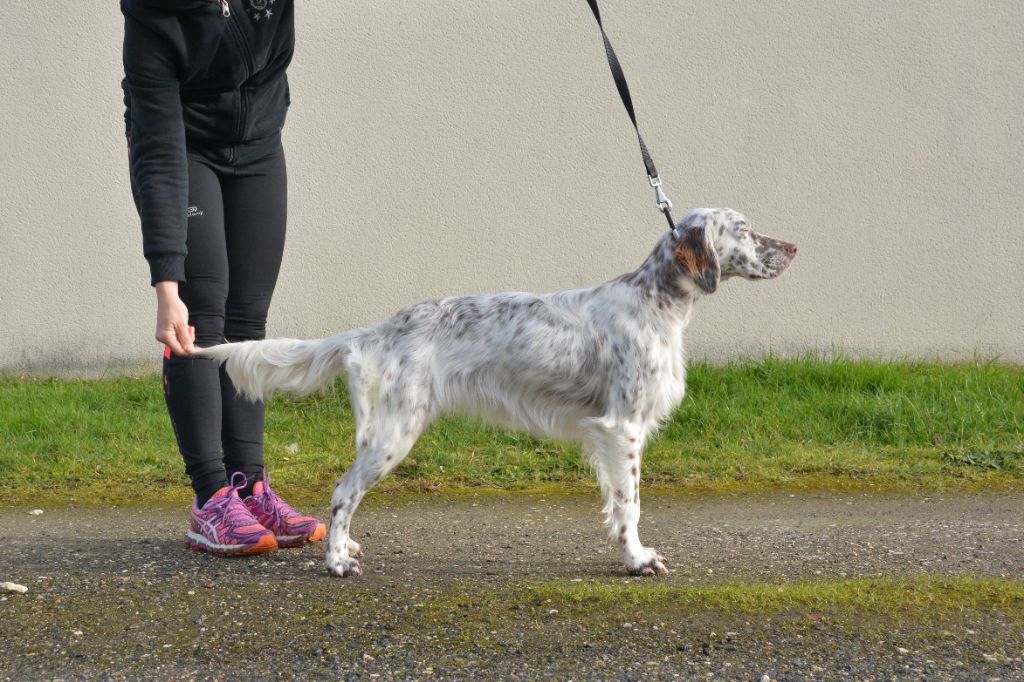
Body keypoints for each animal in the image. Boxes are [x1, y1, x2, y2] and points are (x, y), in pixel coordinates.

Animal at [195, 205, 794, 573]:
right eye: (744, 228)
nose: (793, 247)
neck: (656, 300)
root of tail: (377, 330)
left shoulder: (611, 435)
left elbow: (616, 502)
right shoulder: (622, 428)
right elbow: (632, 504)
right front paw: (637, 559)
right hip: (393, 434)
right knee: (343, 493)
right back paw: (338, 561)